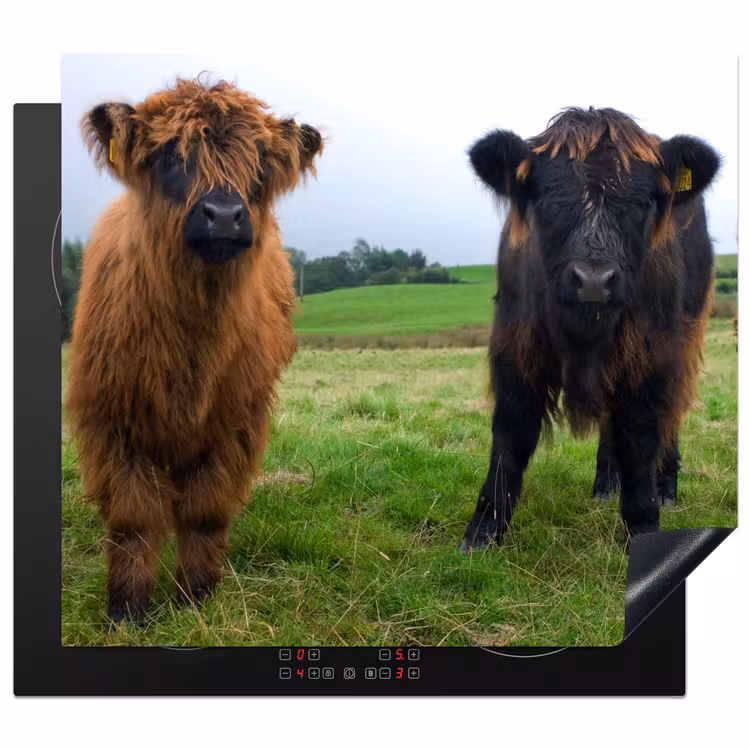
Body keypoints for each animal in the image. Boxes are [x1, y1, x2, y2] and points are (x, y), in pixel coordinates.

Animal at [65, 77, 323, 624]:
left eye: (260, 162)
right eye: (169, 154)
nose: (224, 215)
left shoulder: (235, 425)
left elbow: (205, 511)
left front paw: (196, 597)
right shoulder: (111, 422)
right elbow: (132, 518)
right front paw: (126, 608)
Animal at [461, 107, 720, 552]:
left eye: (643, 203)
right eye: (548, 199)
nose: (594, 280)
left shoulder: (650, 357)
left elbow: (640, 441)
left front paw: (644, 527)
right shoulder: (515, 347)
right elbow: (510, 436)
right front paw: (482, 532)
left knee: (672, 415)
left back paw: (666, 487)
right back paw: (604, 482)